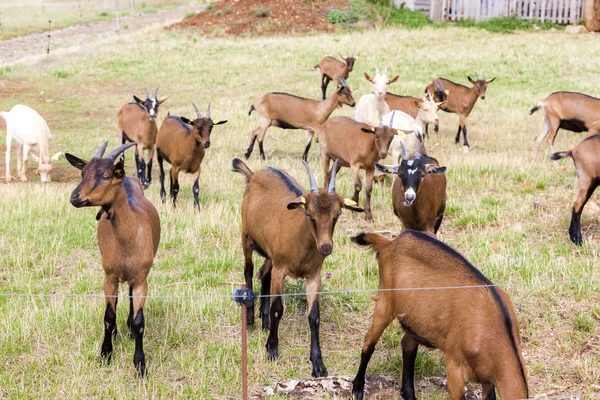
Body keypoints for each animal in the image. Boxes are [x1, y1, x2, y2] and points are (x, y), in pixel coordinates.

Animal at [65, 141, 161, 378]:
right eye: (83, 172)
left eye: (106, 176)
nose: (74, 197)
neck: (127, 240)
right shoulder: (109, 277)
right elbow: (108, 316)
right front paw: (106, 353)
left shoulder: (142, 280)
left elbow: (139, 321)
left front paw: (140, 365)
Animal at [233, 157, 366, 378]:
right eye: (310, 214)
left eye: (337, 214)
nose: (326, 247)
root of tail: (253, 174)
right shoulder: (281, 270)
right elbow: (278, 309)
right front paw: (272, 349)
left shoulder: (314, 275)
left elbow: (314, 316)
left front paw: (318, 364)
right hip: (246, 237)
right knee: (249, 271)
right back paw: (251, 319)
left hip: (270, 254)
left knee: (264, 274)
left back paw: (264, 321)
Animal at [350, 228, 528, 400]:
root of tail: (390, 244)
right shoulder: (454, 364)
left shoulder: (487, 379)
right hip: (385, 301)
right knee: (369, 341)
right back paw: (357, 390)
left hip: (415, 320)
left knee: (407, 345)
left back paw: (409, 394)